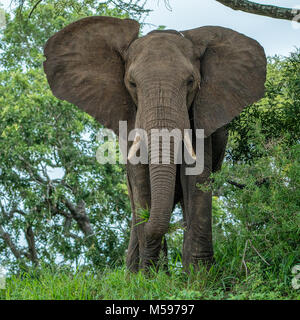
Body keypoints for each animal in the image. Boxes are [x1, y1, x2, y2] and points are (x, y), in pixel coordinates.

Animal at [42, 16, 268, 272]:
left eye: (191, 82)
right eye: (132, 83)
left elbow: (197, 178)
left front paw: (200, 277)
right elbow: (140, 180)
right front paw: (150, 275)